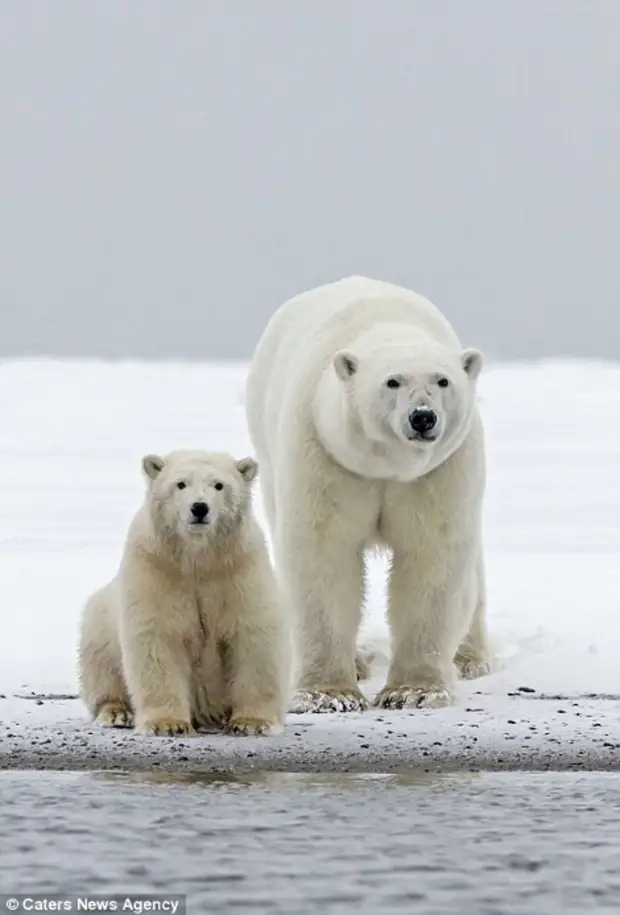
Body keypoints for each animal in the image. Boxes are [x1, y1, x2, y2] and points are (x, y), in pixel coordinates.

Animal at [247, 276, 490, 712]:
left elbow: (433, 556)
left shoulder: (439, 471)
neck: (386, 467)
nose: (423, 418)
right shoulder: (326, 453)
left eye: (442, 380)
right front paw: (328, 694)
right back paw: (360, 661)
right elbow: (322, 555)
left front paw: (414, 691)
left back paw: (471, 658)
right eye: (392, 381)